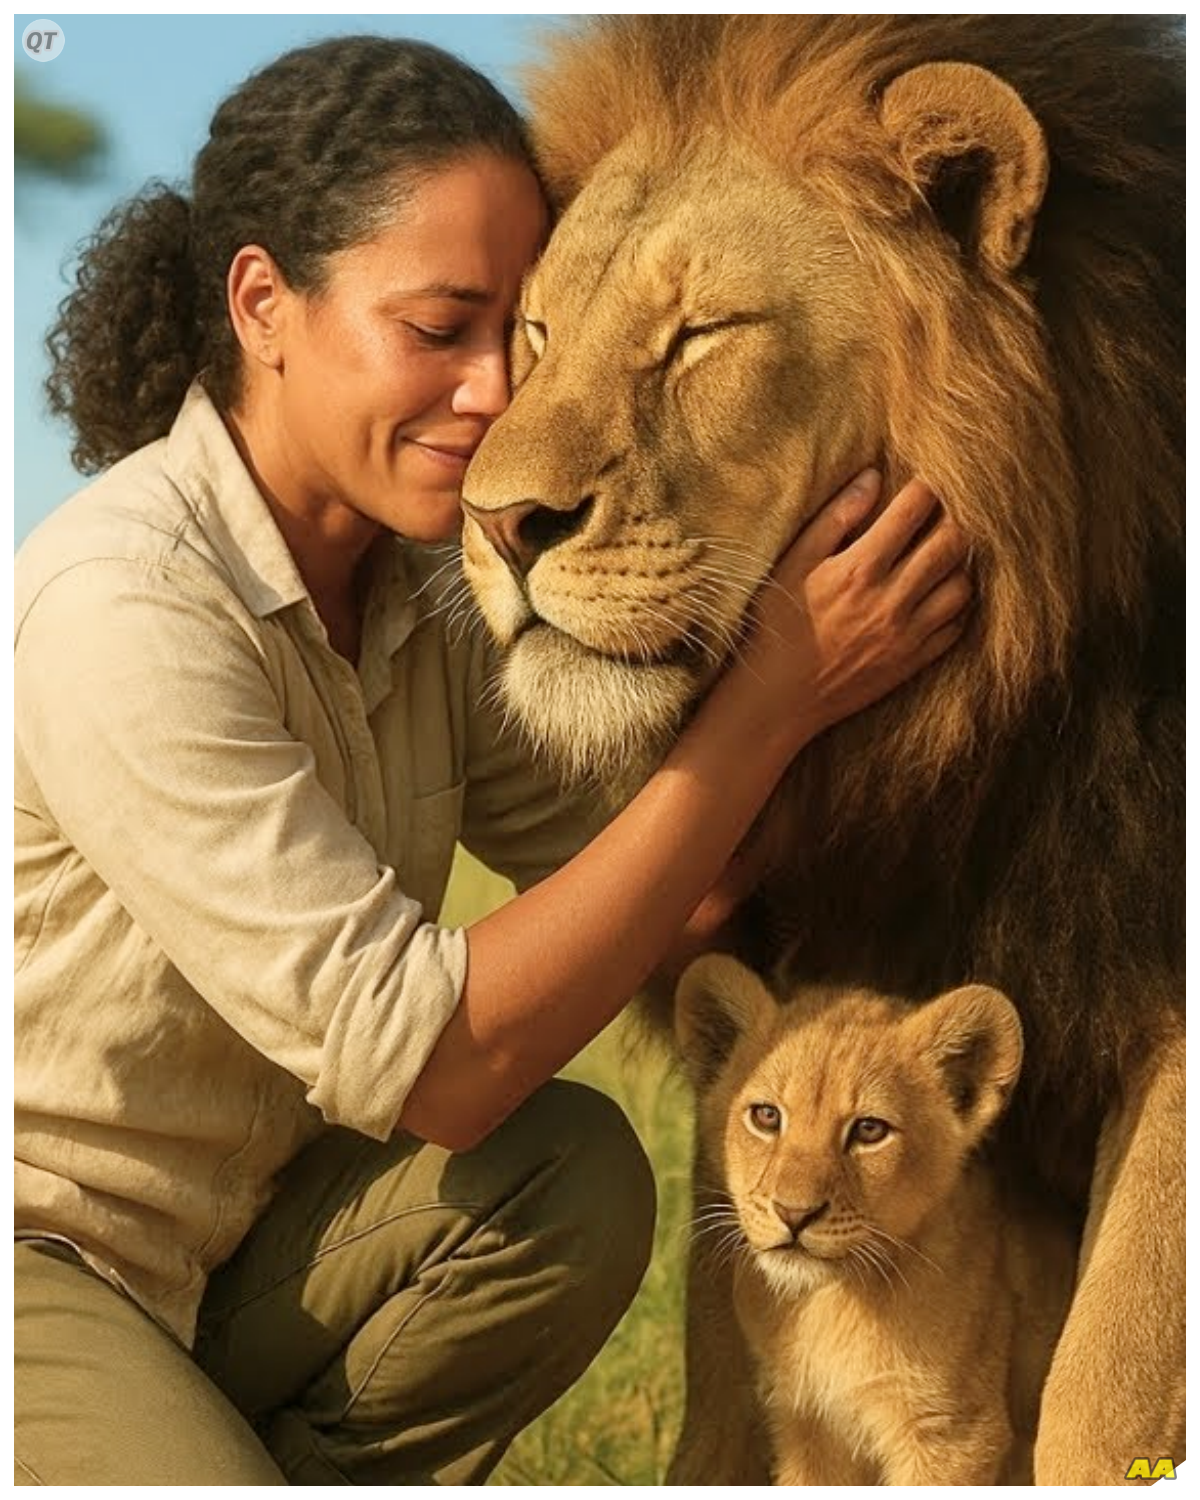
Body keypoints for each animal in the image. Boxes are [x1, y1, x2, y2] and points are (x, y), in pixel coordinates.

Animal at [674, 954, 1077, 1485]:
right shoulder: (808, 1426)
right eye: (766, 1117)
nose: (794, 1214)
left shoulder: (953, 1433)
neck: (827, 1303)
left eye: (869, 1130)